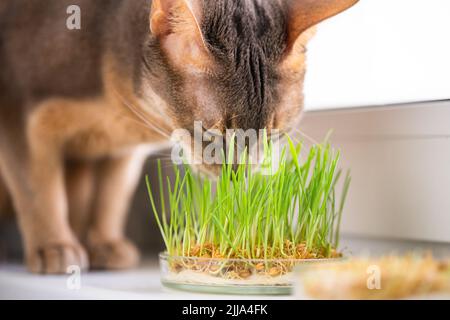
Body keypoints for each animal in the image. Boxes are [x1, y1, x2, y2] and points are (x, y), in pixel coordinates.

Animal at [0, 0, 358, 274]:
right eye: (212, 132)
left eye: (274, 134)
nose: (237, 174)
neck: (118, 114)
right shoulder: (16, 110)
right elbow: (39, 190)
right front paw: (54, 246)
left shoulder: (123, 153)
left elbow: (112, 197)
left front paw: (105, 242)